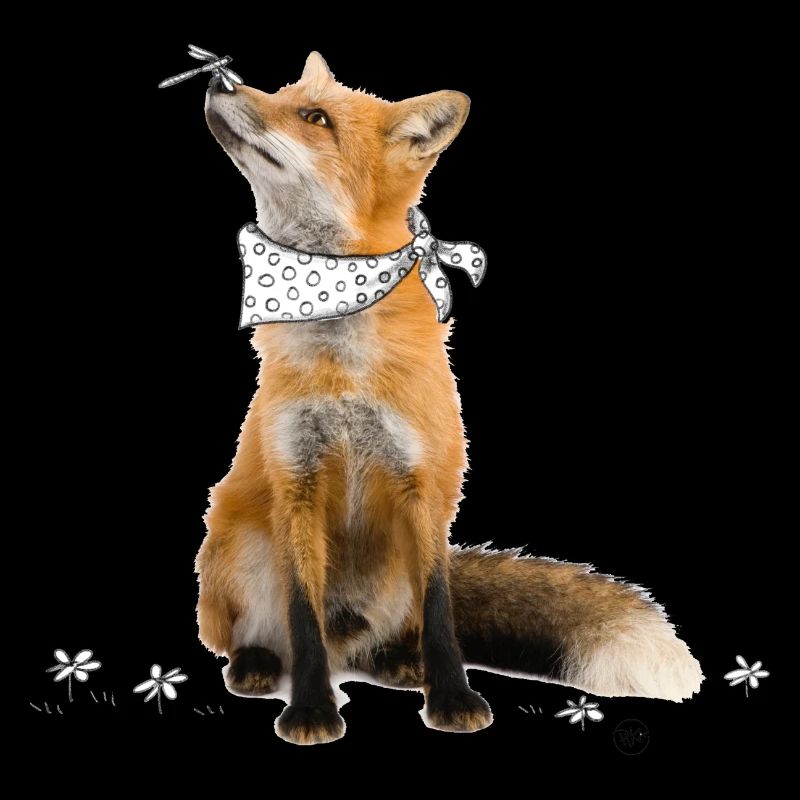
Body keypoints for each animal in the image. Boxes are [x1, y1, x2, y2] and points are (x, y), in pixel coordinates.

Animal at [195, 51, 703, 745]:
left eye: (314, 116)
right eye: (281, 92)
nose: (219, 78)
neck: (345, 354)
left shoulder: (425, 484)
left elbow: (441, 612)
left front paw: (453, 698)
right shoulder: (295, 480)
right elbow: (303, 616)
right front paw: (312, 709)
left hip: (394, 573)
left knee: (393, 632)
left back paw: (400, 662)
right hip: (237, 549)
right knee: (276, 637)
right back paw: (256, 664)